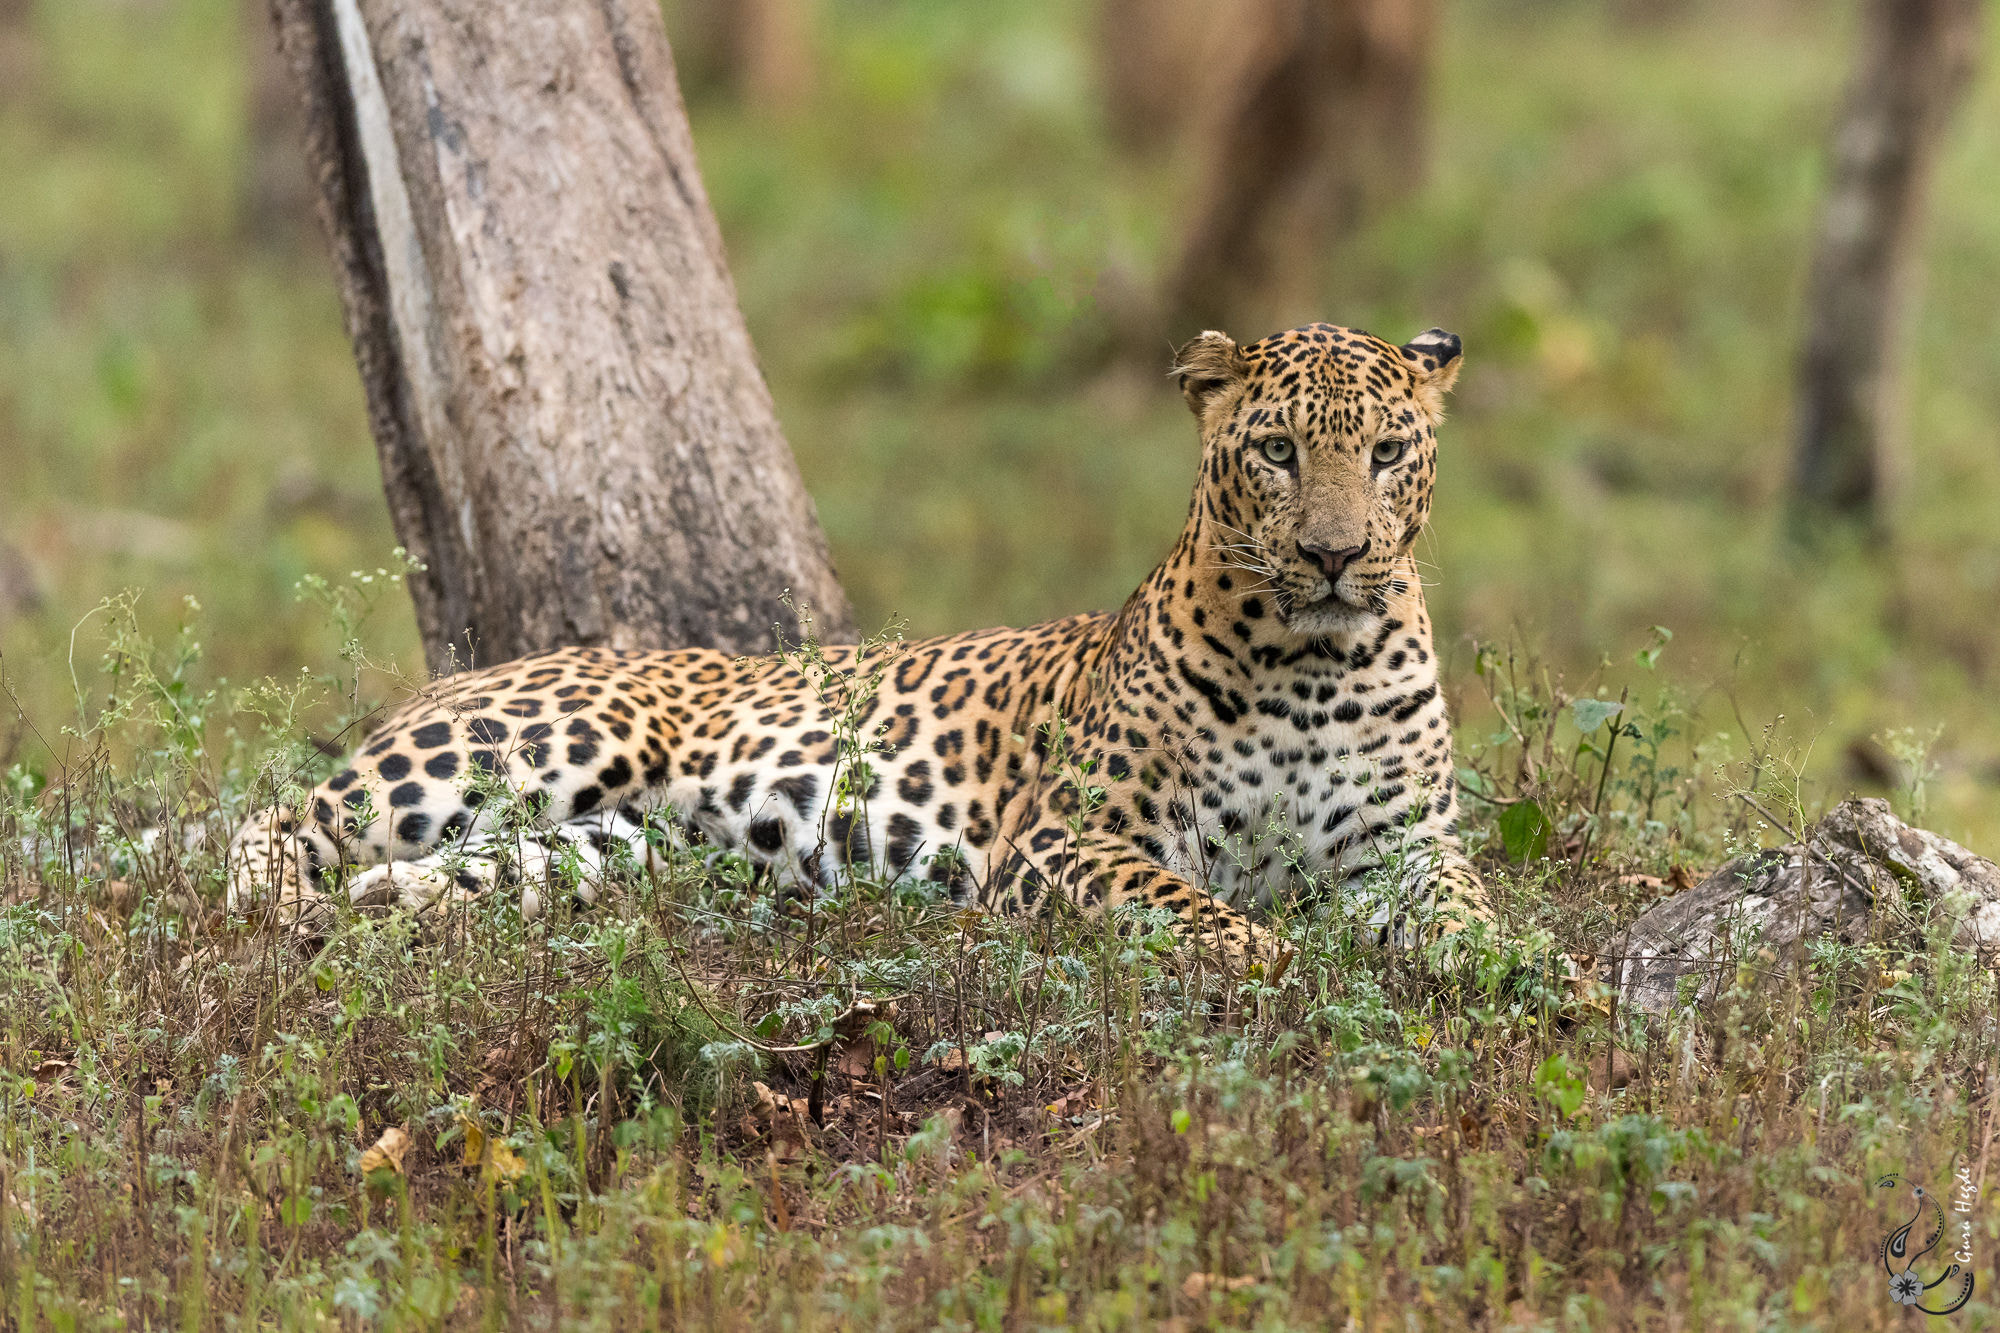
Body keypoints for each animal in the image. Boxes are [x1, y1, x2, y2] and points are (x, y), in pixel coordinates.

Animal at [230, 322, 1488, 964]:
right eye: (1276, 451)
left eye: (1385, 452)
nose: (1334, 554)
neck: (1313, 666)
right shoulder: (1063, 839)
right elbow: (1199, 909)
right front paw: (1276, 957)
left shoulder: (1408, 849)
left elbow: (1475, 914)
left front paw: (1522, 974)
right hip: (544, 740)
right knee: (273, 812)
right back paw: (280, 906)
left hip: (607, 848)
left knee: (458, 873)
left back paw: (383, 909)